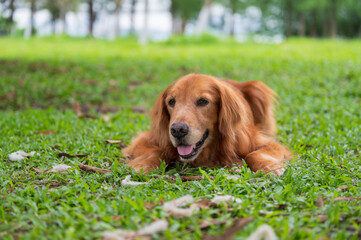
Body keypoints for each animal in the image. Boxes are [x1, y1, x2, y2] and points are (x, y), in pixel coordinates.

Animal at [124, 74, 292, 175]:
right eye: (171, 102)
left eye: (203, 101)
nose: (177, 130)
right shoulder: (147, 140)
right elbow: (156, 151)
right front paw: (142, 165)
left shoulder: (261, 142)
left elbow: (254, 154)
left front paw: (269, 166)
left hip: (258, 89)